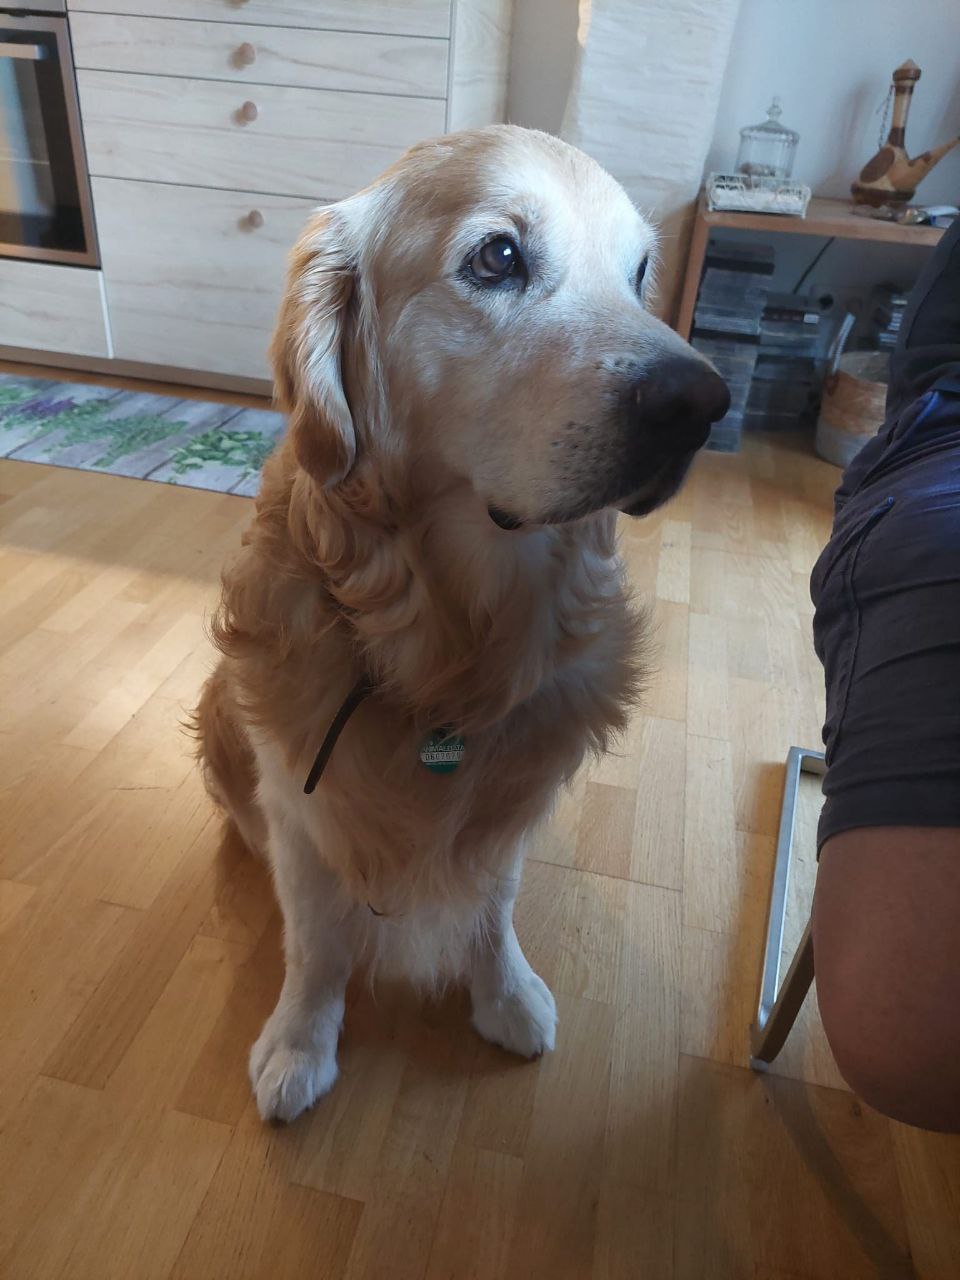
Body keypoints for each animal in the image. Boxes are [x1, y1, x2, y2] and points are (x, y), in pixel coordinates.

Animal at [195, 125, 728, 1123]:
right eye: (498, 257)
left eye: (641, 270)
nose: (702, 405)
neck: (448, 638)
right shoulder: (301, 804)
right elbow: (316, 943)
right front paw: (299, 1042)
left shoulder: (506, 800)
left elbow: (491, 903)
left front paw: (505, 995)